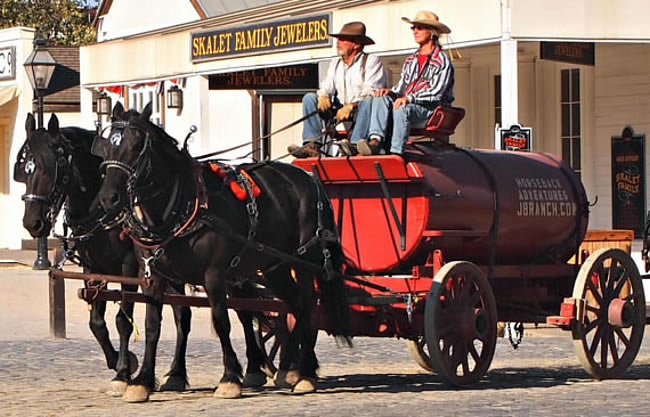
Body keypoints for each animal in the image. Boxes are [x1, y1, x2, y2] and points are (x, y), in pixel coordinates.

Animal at [15, 112, 192, 394]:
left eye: (52, 165)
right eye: (24, 168)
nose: (33, 223)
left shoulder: (130, 268)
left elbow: (123, 320)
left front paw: (122, 372)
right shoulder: (94, 269)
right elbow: (96, 322)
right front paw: (121, 361)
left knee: (182, 316)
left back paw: (177, 373)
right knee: (181, 313)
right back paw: (175, 374)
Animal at [93, 102, 346, 402]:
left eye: (136, 146)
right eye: (106, 147)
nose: (108, 198)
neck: (183, 205)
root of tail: (309, 178)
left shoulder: (214, 274)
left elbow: (221, 320)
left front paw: (229, 379)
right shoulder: (152, 274)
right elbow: (152, 325)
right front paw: (141, 381)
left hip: (305, 260)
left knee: (306, 305)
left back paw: (304, 373)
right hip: (276, 266)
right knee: (295, 305)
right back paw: (290, 369)